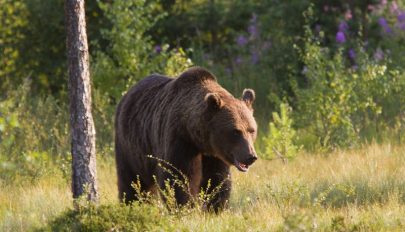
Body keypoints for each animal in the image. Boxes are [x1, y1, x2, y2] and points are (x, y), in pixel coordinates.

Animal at [113, 66, 256, 211]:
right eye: (236, 131)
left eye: (252, 130)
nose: (250, 156)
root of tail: (126, 94)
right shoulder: (180, 140)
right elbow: (179, 178)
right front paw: (184, 207)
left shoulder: (215, 154)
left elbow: (217, 179)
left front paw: (215, 207)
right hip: (130, 146)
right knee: (132, 179)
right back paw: (132, 203)